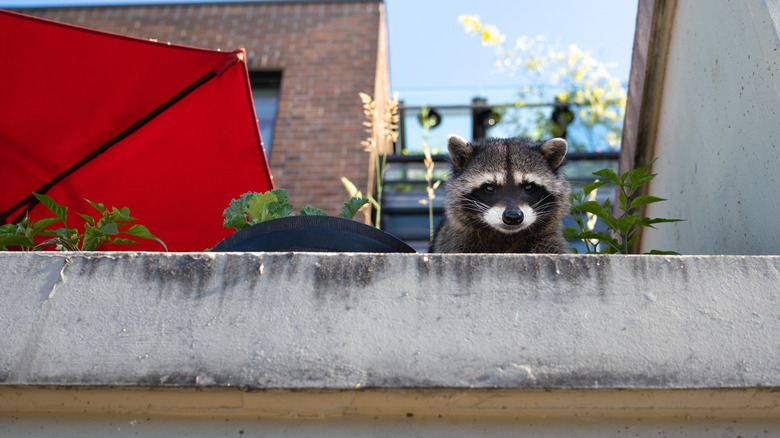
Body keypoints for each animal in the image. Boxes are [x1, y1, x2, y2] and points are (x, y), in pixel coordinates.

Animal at [429, 135, 572, 253]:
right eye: (489, 188)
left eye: (529, 187)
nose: (513, 216)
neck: (506, 236)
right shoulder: (456, 242)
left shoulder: (548, 239)